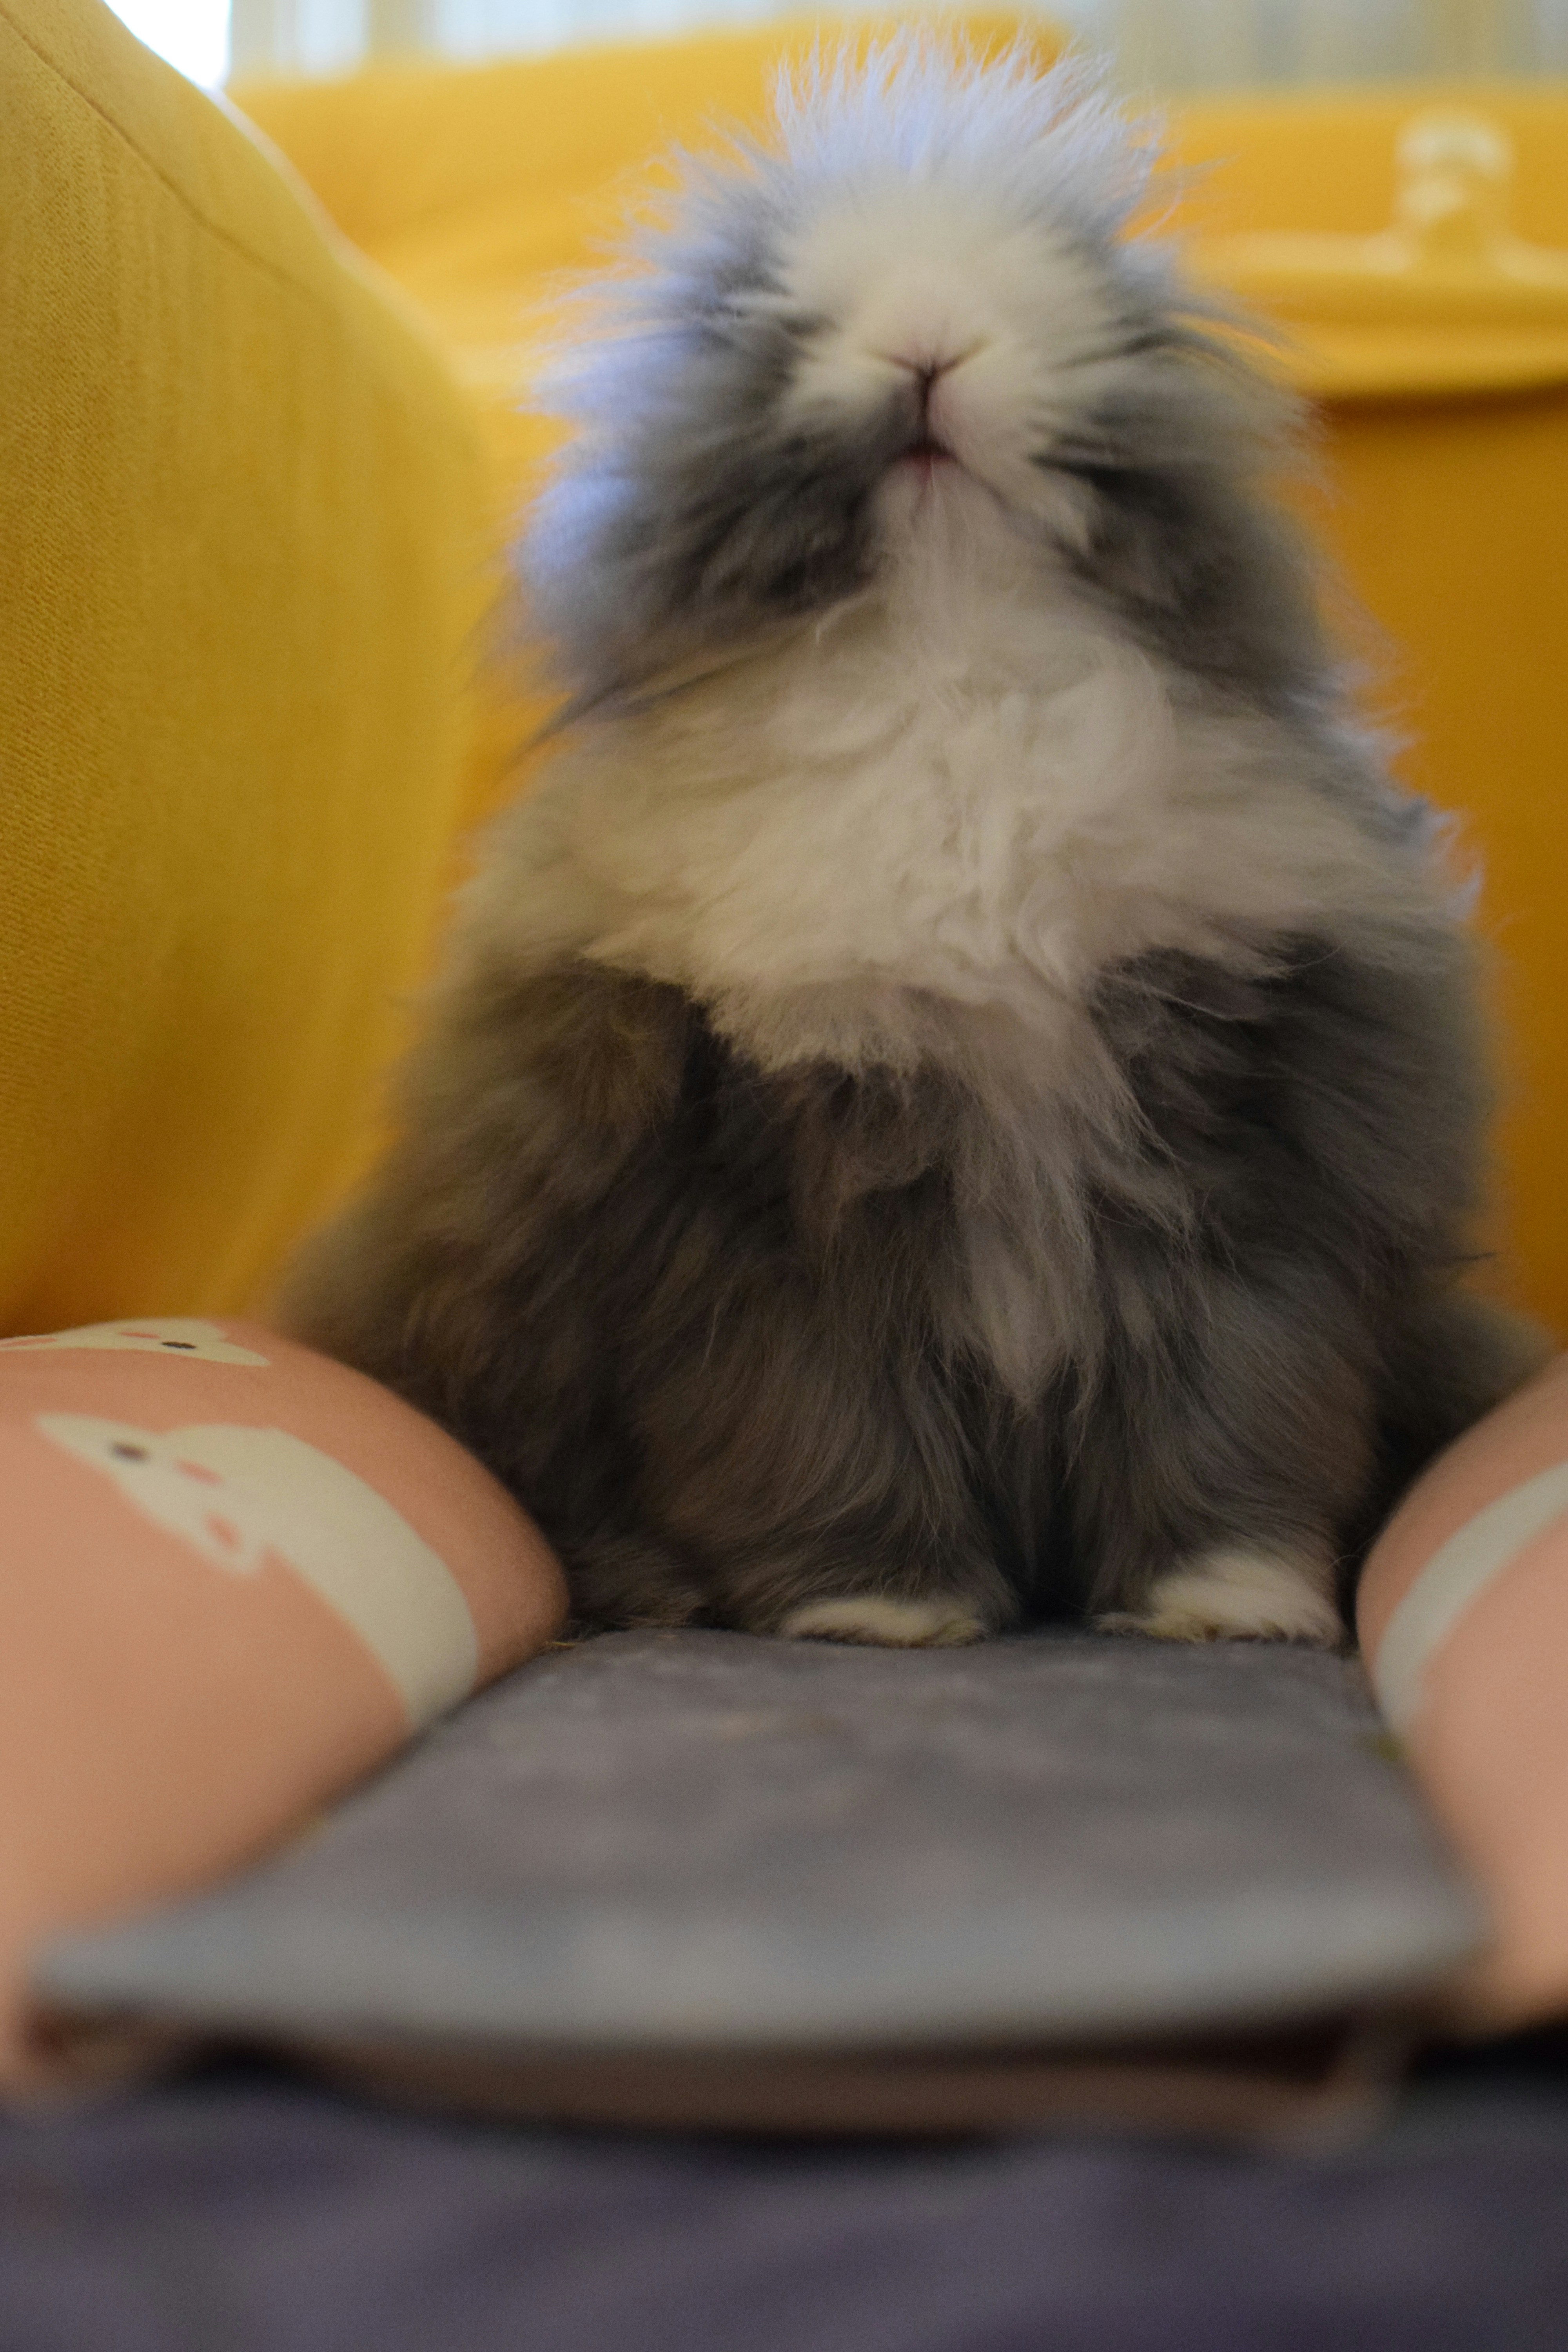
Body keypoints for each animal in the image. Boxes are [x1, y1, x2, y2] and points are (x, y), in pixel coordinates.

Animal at [282, 42, 1543, 1649]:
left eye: (1076, 286)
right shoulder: (758, 1216)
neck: (949, 667)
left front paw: (1229, 1604)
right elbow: (814, 1423)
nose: (927, 341)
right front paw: (878, 1613)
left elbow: (1233, 1409)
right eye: (764, 313)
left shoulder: (1252, 1178)